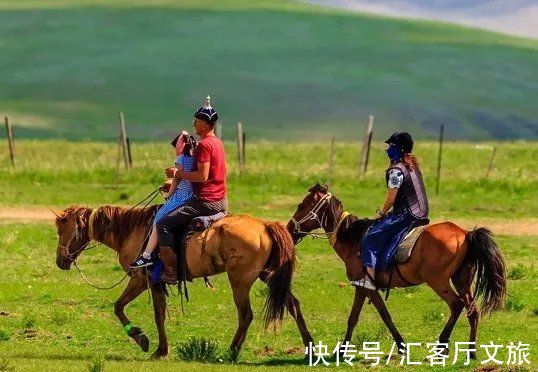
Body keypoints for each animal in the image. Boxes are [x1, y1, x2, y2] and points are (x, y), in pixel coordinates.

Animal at [53, 205, 314, 358]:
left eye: (61, 229)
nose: (60, 261)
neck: (131, 230)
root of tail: (265, 226)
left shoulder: (142, 280)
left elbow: (123, 308)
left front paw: (147, 342)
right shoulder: (154, 283)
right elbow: (152, 312)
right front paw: (155, 345)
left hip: (240, 281)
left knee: (246, 315)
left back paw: (231, 352)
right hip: (269, 275)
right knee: (293, 304)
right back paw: (309, 346)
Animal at [286, 185, 504, 356]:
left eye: (301, 206)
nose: (289, 229)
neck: (353, 239)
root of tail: (466, 234)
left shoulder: (362, 285)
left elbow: (354, 317)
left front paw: (341, 350)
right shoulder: (370, 288)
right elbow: (385, 315)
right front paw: (401, 345)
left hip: (438, 281)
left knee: (456, 305)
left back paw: (442, 345)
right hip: (462, 279)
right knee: (472, 310)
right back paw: (471, 351)